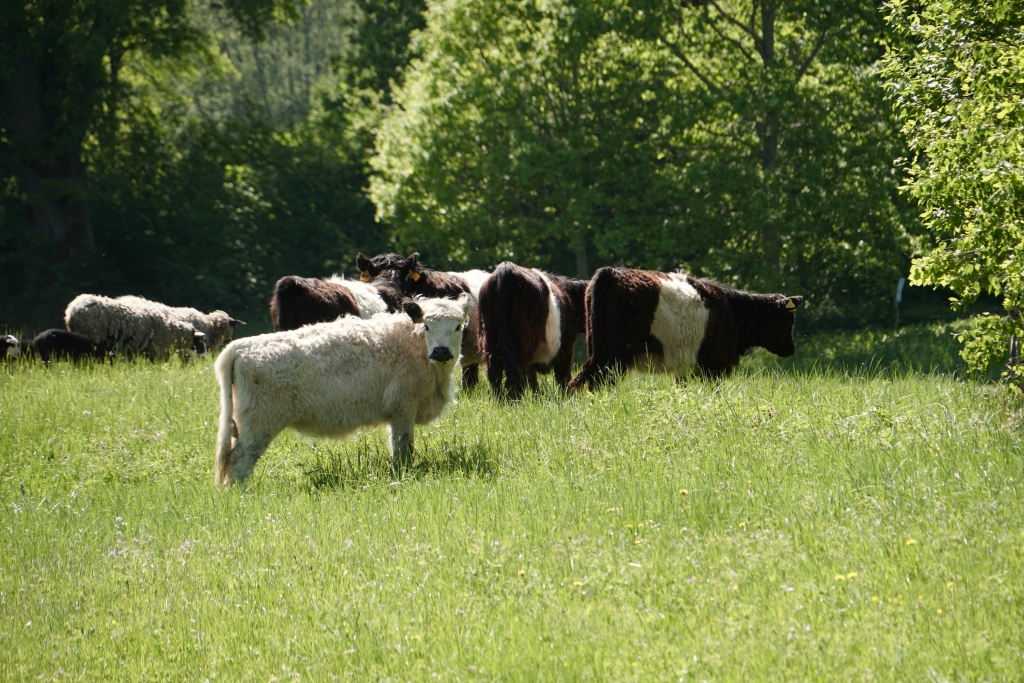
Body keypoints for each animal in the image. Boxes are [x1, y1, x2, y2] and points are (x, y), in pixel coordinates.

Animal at [218, 294, 473, 485]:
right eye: (427, 326)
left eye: (458, 326)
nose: (441, 351)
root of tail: (243, 345)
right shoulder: (403, 409)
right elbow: (402, 448)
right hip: (260, 424)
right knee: (239, 459)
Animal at [471, 262, 585, 401]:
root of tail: (506, 269)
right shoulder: (566, 348)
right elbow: (563, 378)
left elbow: (533, 381)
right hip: (523, 343)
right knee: (516, 375)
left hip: (490, 342)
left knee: (495, 374)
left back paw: (499, 401)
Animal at [569, 270, 798, 393]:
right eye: (789, 320)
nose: (792, 348)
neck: (733, 309)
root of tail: (613, 272)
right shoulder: (713, 365)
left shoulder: (685, 369)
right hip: (616, 355)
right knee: (599, 381)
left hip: (597, 351)